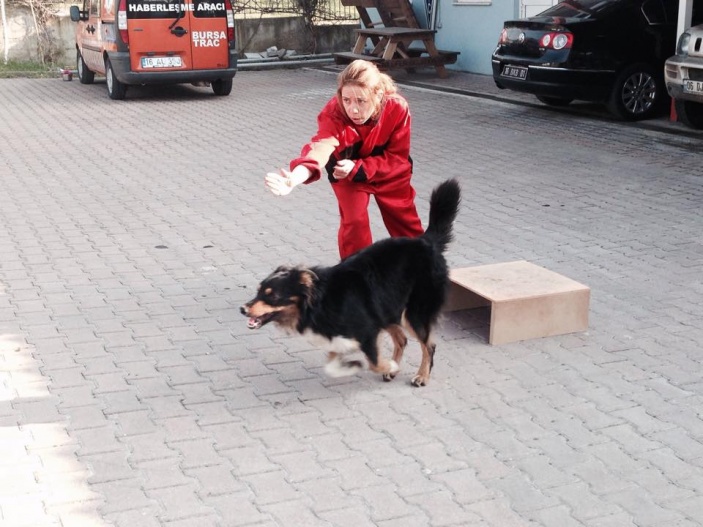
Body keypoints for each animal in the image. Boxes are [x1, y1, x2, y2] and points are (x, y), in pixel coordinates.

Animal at [242, 179, 462, 386]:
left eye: (273, 296)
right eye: (258, 291)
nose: (242, 309)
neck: (320, 302)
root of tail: (427, 241)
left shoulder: (367, 331)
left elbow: (374, 362)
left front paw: (388, 365)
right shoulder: (342, 336)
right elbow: (332, 365)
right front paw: (356, 366)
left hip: (414, 313)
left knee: (428, 345)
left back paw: (421, 375)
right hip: (385, 307)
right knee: (402, 339)